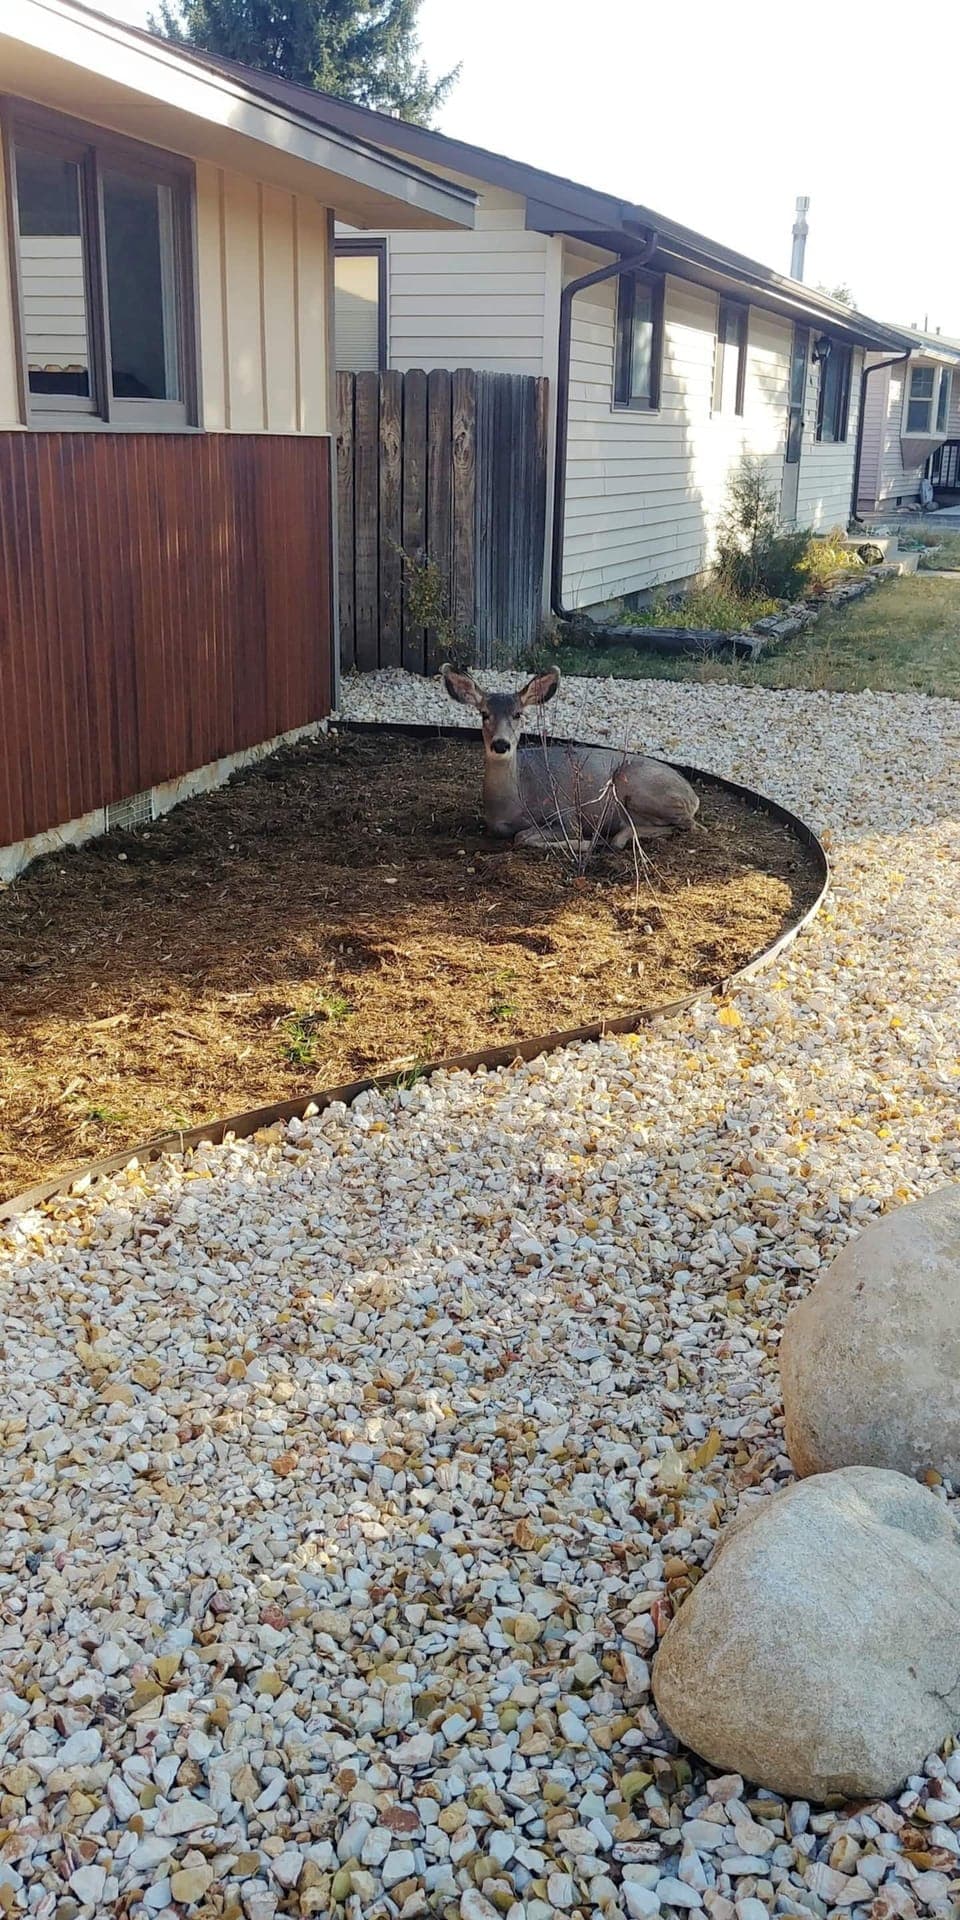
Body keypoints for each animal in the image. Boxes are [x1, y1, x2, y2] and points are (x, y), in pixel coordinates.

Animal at [441, 664, 699, 851]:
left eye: (518, 714)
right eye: (484, 714)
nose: (501, 744)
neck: (514, 800)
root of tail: (693, 796)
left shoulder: (566, 813)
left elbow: (524, 837)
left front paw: (587, 843)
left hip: (636, 785)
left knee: (689, 825)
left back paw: (615, 838)